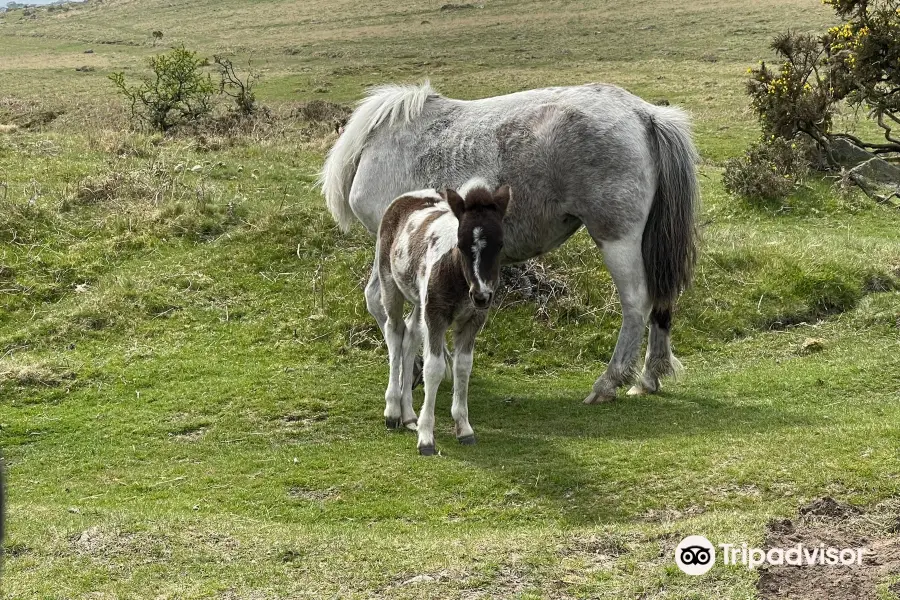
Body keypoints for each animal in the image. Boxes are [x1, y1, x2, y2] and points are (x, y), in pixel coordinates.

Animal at [376, 180, 510, 452]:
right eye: (460, 243)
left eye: (500, 244)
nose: (481, 295)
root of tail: (409, 196)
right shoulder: (435, 315)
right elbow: (434, 367)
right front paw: (426, 437)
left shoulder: (472, 320)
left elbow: (463, 366)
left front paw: (464, 428)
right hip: (390, 283)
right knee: (394, 333)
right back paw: (393, 411)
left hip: (420, 301)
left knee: (410, 336)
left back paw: (409, 415)